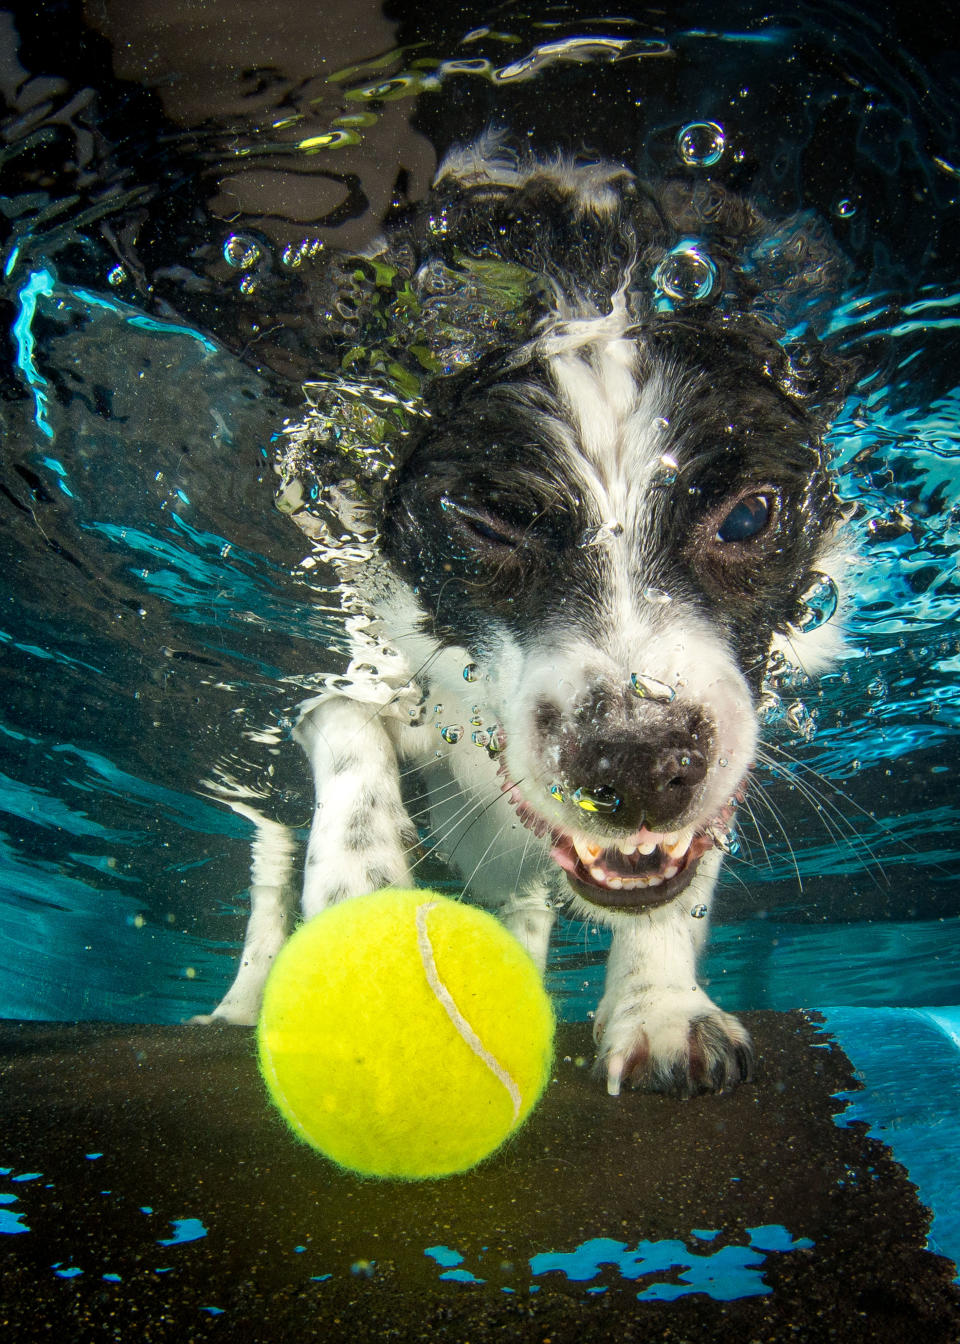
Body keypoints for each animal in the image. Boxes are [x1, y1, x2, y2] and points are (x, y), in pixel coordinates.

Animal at [192, 136, 844, 1096]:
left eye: (749, 517)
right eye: (484, 523)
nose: (638, 764)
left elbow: (680, 876)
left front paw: (661, 1007)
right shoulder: (345, 651)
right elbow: (352, 759)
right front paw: (371, 938)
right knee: (270, 863)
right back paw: (241, 1000)